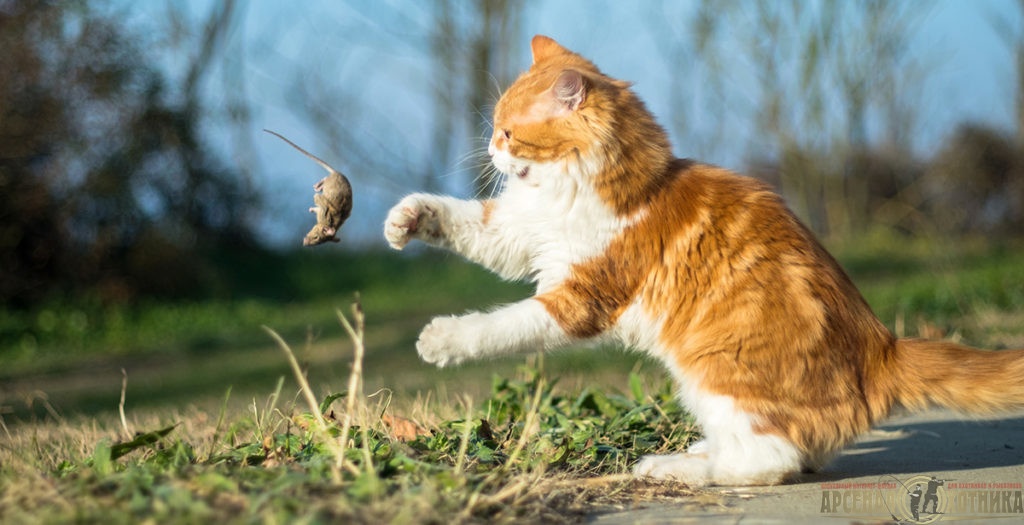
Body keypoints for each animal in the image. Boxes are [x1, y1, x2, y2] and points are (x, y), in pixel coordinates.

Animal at [385, 35, 1024, 487]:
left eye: (509, 132)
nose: (491, 147)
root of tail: (882, 347)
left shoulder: (580, 297)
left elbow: (500, 325)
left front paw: (441, 340)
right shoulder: (520, 233)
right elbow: (464, 222)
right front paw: (408, 217)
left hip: (713, 370)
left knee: (769, 460)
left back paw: (677, 469)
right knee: (792, 455)